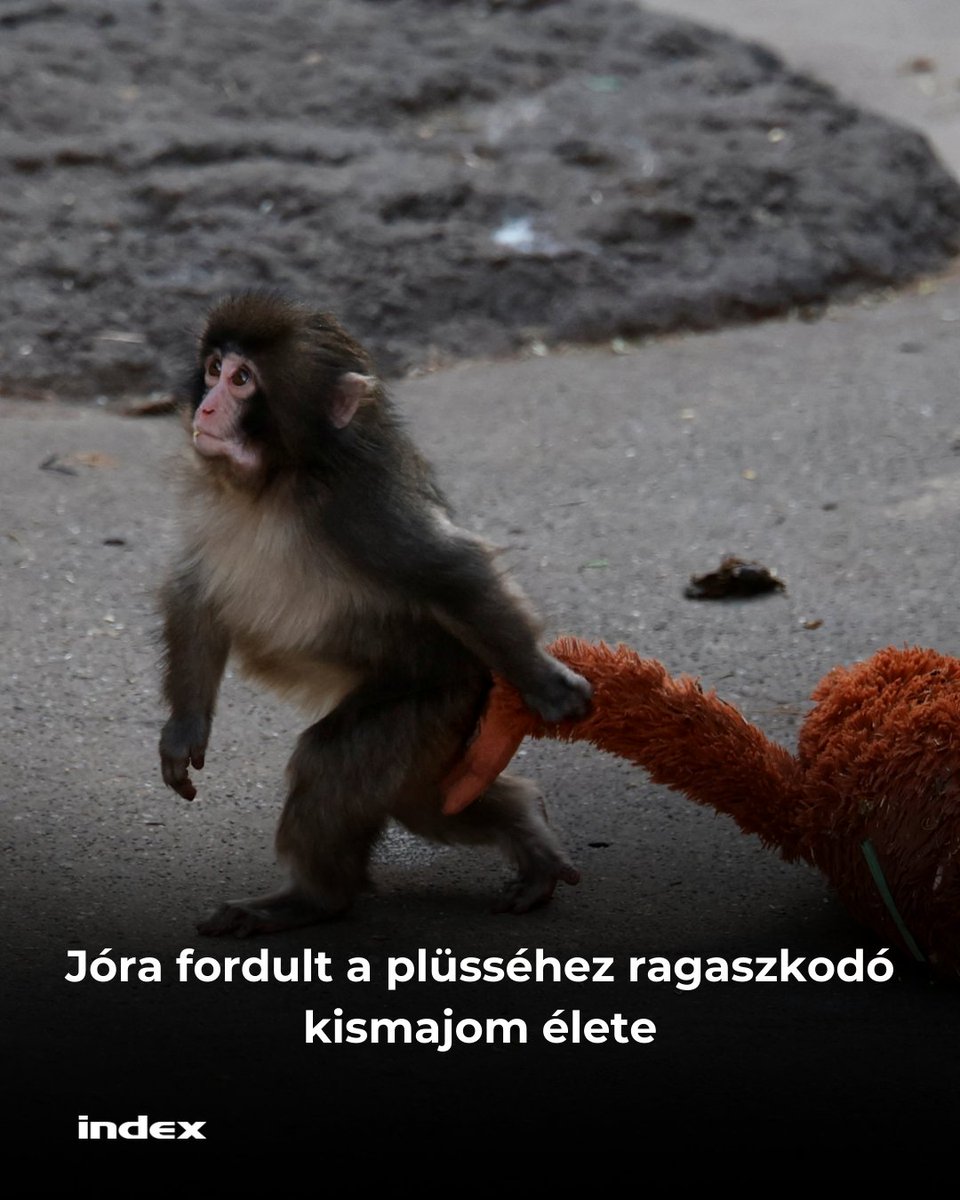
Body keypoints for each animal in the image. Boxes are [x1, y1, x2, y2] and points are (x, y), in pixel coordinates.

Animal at [159, 291, 592, 936]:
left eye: (242, 380)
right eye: (213, 369)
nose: (207, 406)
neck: (278, 480)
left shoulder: (363, 509)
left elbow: (452, 570)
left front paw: (546, 682)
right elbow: (195, 593)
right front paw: (184, 729)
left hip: (436, 699)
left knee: (337, 761)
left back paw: (313, 898)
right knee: (429, 801)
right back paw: (528, 831)